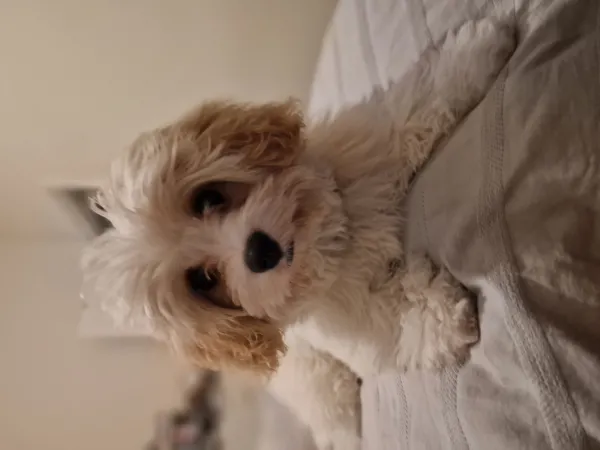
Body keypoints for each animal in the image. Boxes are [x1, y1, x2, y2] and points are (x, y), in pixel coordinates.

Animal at [83, 18, 515, 450]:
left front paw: (478, 49)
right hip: (314, 381)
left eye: (207, 199)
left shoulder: (371, 144)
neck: (321, 238)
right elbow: (392, 324)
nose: (259, 251)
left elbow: (415, 104)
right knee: (333, 407)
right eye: (202, 280)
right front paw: (447, 317)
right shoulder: (349, 323)